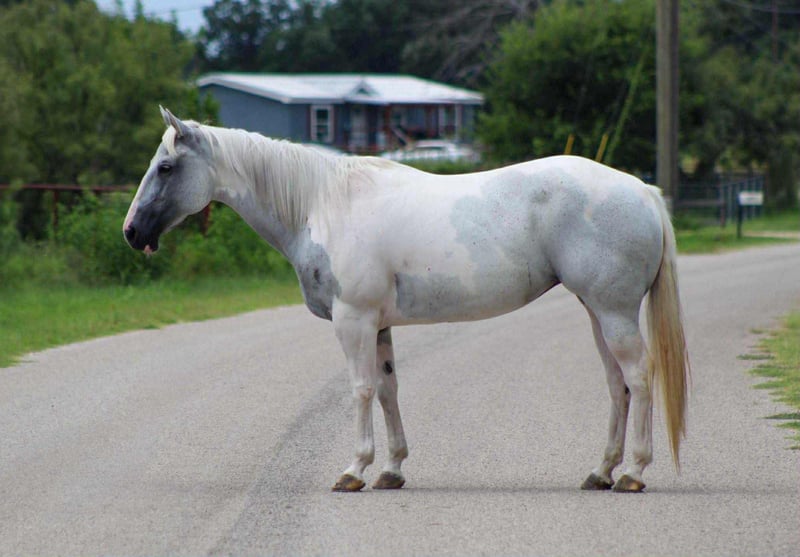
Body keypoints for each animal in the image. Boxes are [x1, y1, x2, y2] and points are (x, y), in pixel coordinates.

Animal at [124, 107, 690, 493]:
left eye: (166, 167)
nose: (131, 233)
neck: (321, 205)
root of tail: (643, 191)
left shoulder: (352, 321)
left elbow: (360, 389)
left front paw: (355, 469)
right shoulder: (378, 326)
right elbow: (388, 389)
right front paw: (392, 469)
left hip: (613, 312)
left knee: (639, 378)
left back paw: (633, 471)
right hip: (597, 312)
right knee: (617, 384)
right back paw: (601, 470)